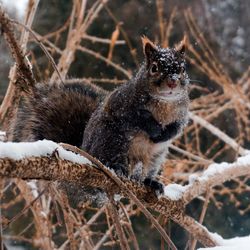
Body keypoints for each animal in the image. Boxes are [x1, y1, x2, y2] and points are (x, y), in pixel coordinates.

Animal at [10, 36, 189, 195]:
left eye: (182, 69)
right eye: (154, 68)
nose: (172, 82)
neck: (165, 102)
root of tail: (85, 151)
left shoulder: (182, 113)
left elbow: (178, 127)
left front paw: (167, 134)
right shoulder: (124, 106)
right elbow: (140, 119)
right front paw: (155, 130)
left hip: (154, 159)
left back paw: (150, 182)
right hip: (113, 140)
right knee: (109, 160)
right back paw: (117, 168)